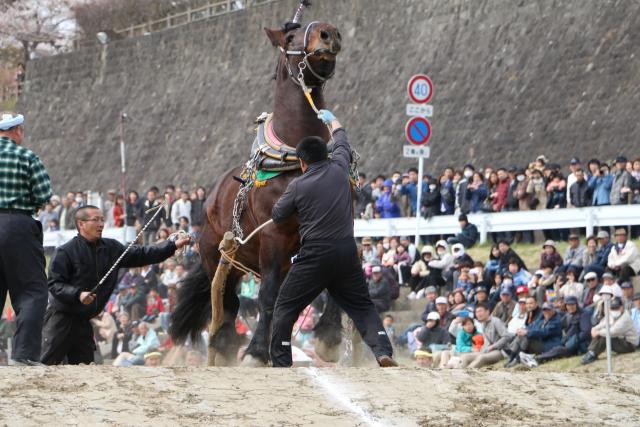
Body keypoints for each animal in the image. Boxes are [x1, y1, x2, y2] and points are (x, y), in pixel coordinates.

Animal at [168, 15, 342, 364]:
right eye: (289, 38)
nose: (328, 34)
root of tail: (210, 199)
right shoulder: (273, 237)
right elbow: (268, 295)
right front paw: (257, 350)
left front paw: (329, 336)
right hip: (217, 256)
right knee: (229, 303)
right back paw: (224, 343)